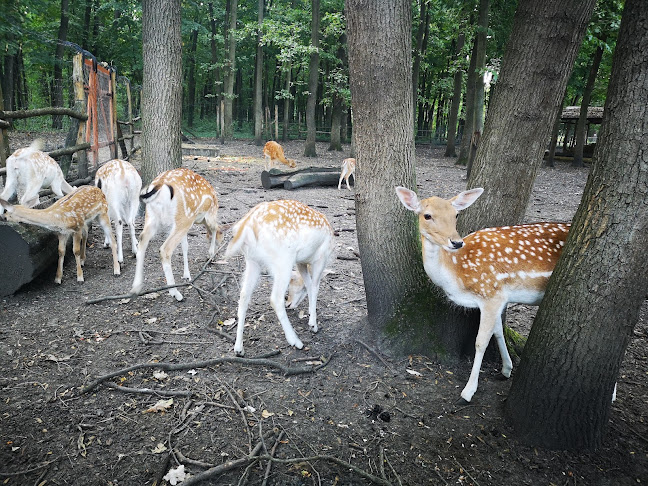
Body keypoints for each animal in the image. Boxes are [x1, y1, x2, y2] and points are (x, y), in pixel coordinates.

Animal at [130, 169, 224, 302]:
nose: (218, 250)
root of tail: (160, 184)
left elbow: (185, 246)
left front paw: (187, 275)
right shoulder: (206, 216)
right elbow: (214, 229)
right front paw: (210, 254)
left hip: (152, 217)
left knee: (142, 240)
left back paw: (136, 288)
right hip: (184, 217)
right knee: (165, 249)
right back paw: (175, 293)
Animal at [224, 199, 334, 356]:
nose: (289, 303)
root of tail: (247, 225)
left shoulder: (300, 262)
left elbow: (308, 283)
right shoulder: (320, 258)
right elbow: (314, 286)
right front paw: (313, 324)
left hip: (252, 260)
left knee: (244, 295)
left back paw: (238, 348)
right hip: (283, 260)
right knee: (275, 298)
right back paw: (296, 341)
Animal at [394, 186, 572, 402]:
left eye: (456, 214)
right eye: (427, 215)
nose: (456, 242)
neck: (457, 276)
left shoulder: (491, 292)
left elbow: (480, 341)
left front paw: (468, 391)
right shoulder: (499, 297)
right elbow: (498, 331)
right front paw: (506, 369)